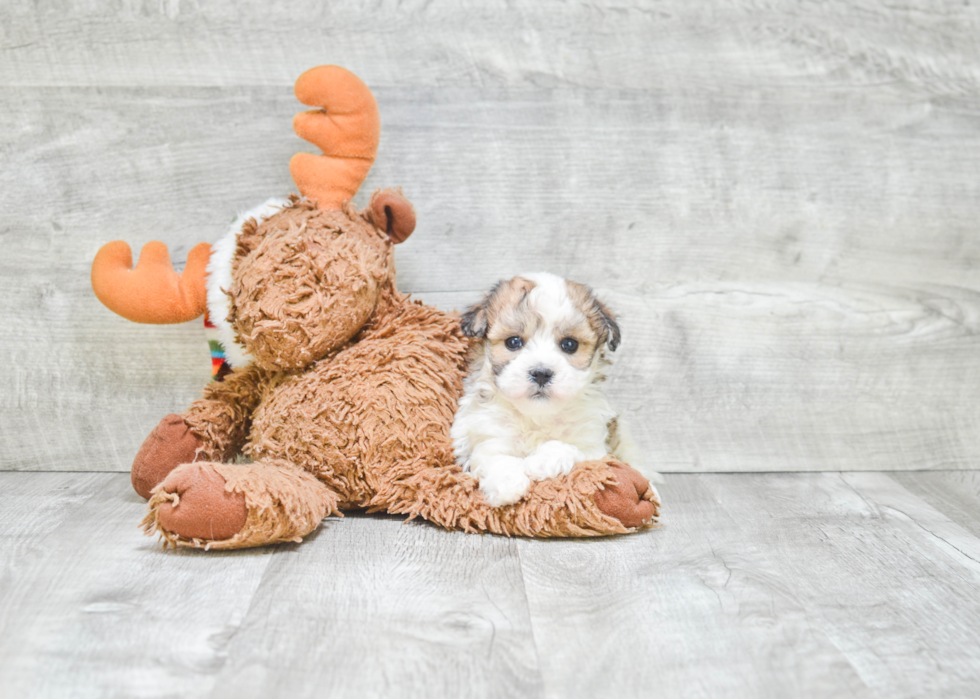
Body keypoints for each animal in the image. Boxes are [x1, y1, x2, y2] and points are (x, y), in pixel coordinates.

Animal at [450, 274, 652, 508]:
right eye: (513, 342)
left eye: (570, 344)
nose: (541, 373)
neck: (538, 415)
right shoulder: (486, 434)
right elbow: (492, 457)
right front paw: (507, 483)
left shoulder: (595, 448)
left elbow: (569, 448)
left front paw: (542, 461)